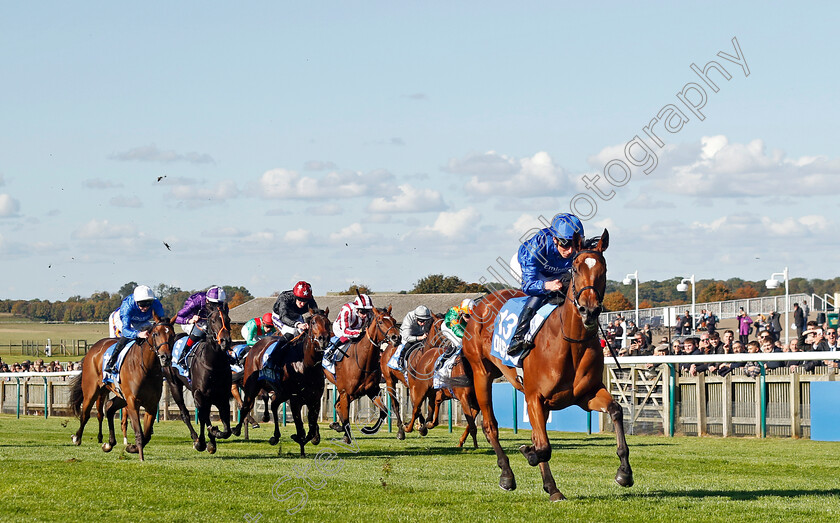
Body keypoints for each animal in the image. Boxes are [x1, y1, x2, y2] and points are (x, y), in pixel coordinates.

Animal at [71, 314, 177, 460]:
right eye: (156, 334)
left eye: (172, 335)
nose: (165, 357)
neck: (147, 368)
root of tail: (93, 349)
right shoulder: (132, 402)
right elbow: (139, 432)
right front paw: (141, 457)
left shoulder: (151, 404)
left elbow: (147, 434)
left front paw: (132, 448)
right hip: (91, 390)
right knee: (85, 414)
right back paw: (77, 438)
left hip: (121, 396)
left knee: (109, 407)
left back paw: (109, 443)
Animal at [162, 302, 233, 454]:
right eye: (213, 321)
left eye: (228, 320)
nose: (225, 341)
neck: (214, 363)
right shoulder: (199, 394)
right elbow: (202, 417)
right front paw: (203, 441)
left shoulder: (222, 397)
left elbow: (227, 430)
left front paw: (214, 436)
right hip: (174, 385)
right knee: (185, 414)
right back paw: (196, 438)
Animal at [233, 310, 334, 456]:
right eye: (313, 322)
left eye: (327, 322)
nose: (323, 339)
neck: (307, 365)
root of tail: (254, 348)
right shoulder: (295, 400)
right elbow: (300, 426)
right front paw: (300, 441)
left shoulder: (314, 401)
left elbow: (311, 427)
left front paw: (310, 439)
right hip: (252, 386)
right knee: (246, 405)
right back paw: (237, 429)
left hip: (281, 392)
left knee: (274, 405)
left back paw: (275, 436)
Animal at [324, 308, 400, 446]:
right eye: (380, 321)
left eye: (394, 320)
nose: (396, 337)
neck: (362, 360)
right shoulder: (345, 392)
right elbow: (345, 415)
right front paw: (347, 436)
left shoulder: (371, 390)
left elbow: (383, 411)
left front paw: (368, 429)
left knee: (337, 406)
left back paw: (337, 426)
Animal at [462, 231, 632, 502]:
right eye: (575, 268)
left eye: (603, 269)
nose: (589, 310)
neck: (570, 342)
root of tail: (480, 303)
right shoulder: (535, 397)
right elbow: (542, 447)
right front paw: (528, 452)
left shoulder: (585, 395)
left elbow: (615, 410)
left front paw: (624, 473)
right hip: (482, 373)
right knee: (490, 426)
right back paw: (507, 476)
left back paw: (551, 488)